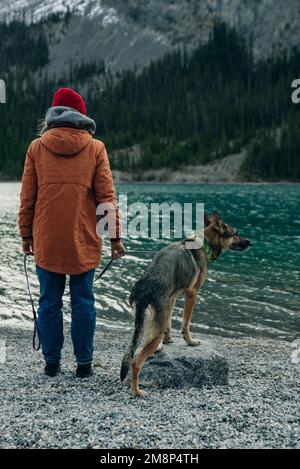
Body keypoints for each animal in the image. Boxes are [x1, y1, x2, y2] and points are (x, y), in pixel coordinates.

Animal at [120, 212, 252, 394]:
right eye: (236, 233)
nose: (251, 243)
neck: (203, 244)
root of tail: (144, 288)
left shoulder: (172, 298)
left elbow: (169, 323)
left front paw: (168, 340)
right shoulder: (192, 295)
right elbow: (186, 323)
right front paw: (190, 341)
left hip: (145, 321)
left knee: (143, 340)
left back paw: (158, 347)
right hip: (153, 326)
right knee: (135, 362)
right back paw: (137, 391)